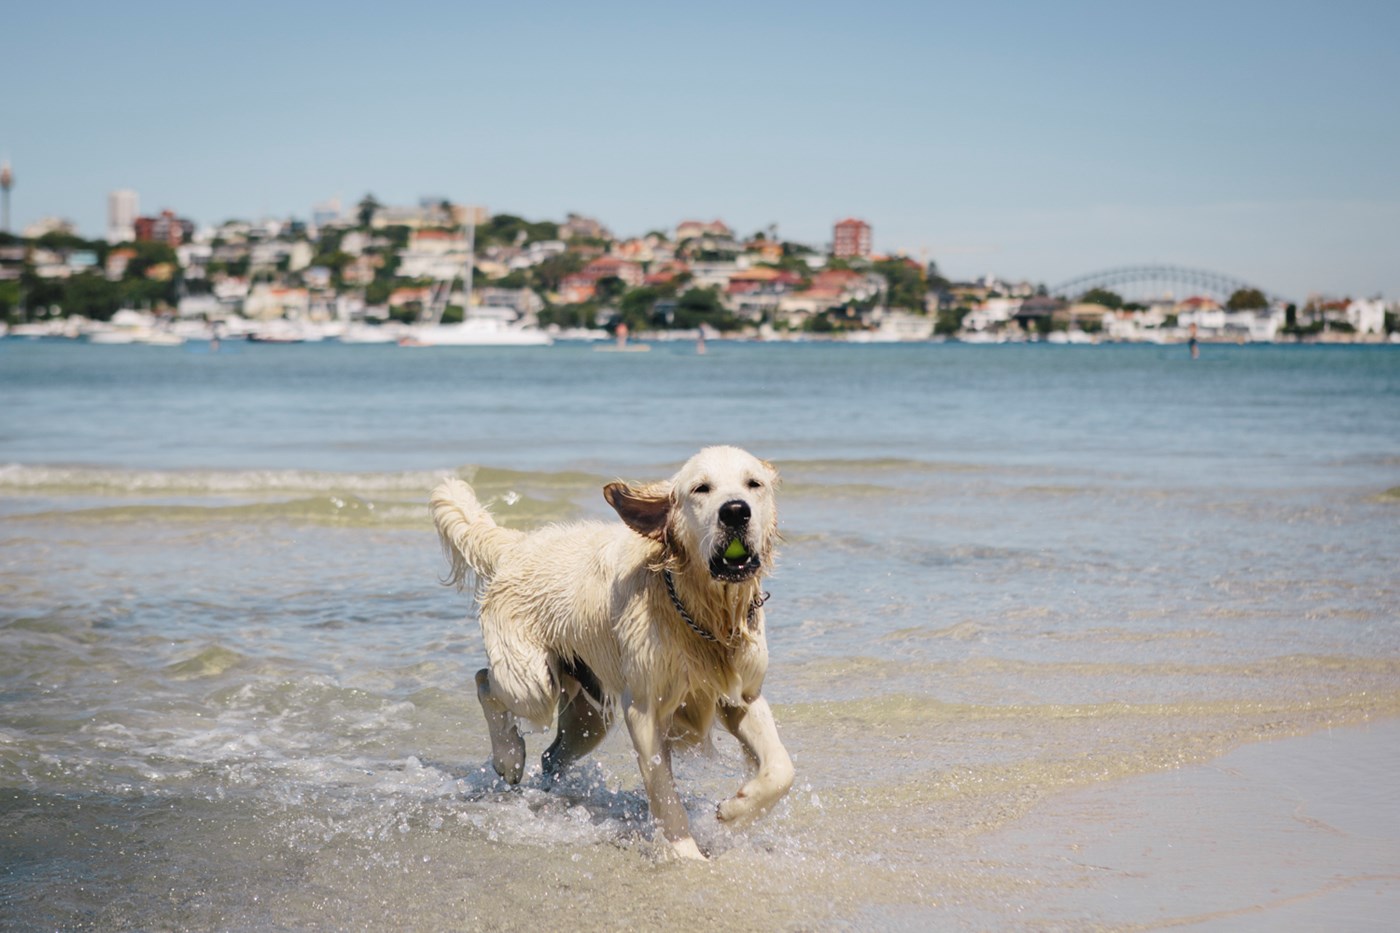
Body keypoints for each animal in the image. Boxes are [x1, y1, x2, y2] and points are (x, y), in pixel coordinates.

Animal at [428, 442, 789, 857]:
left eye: (754, 484)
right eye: (701, 488)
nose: (735, 511)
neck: (703, 615)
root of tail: (517, 543)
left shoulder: (743, 696)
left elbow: (781, 768)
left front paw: (735, 812)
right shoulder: (645, 709)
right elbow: (664, 793)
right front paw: (686, 854)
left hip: (590, 713)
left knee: (551, 754)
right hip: (533, 685)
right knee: (485, 681)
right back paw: (509, 758)